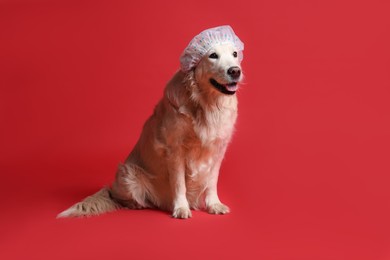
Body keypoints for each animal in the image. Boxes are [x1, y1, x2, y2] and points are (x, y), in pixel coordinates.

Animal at [58, 25, 244, 218]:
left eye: (234, 54)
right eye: (213, 55)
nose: (235, 71)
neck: (206, 103)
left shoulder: (218, 148)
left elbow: (211, 181)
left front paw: (214, 204)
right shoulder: (175, 150)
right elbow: (179, 183)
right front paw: (181, 208)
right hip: (128, 173)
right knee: (119, 198)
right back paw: (137, 204)